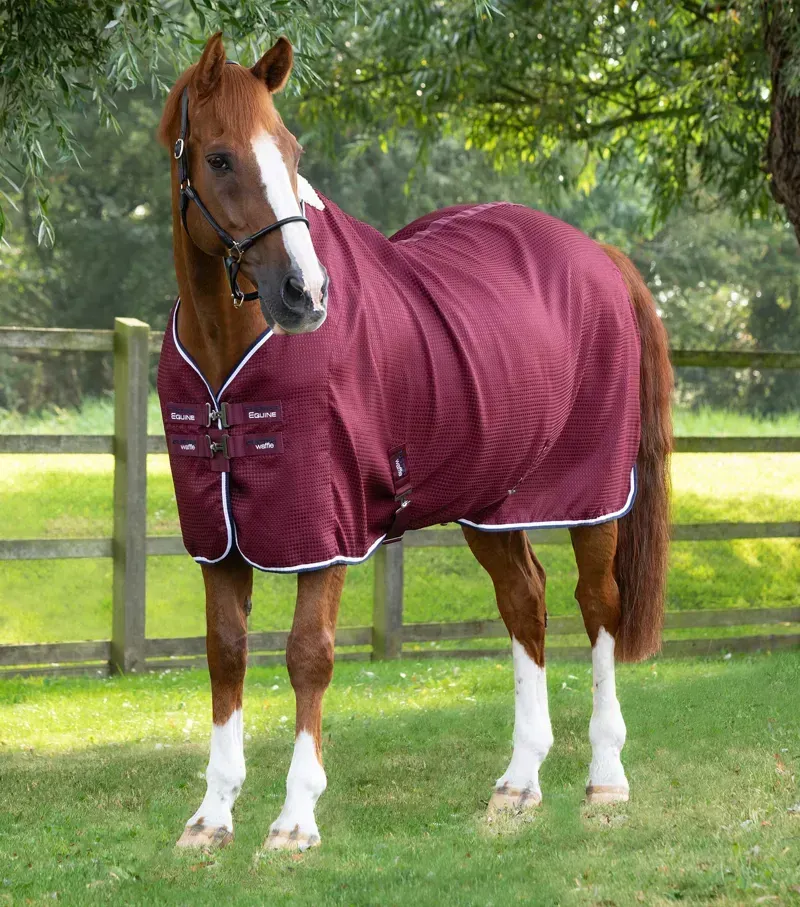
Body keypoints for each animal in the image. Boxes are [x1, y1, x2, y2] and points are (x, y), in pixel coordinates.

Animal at [156, 33, 672, 852]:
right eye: (219, 158)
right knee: (526, 601)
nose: (307, 294)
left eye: (292, 150)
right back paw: (519, 782)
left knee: (598, 607)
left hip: (591, 497)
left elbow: (308, 655)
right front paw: (212, 815)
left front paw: (295, 818)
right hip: (493, 502)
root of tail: (598, 255)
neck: (226, 356)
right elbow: (225, 653)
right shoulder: (220, 537)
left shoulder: (323, 530)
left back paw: (606, 776)